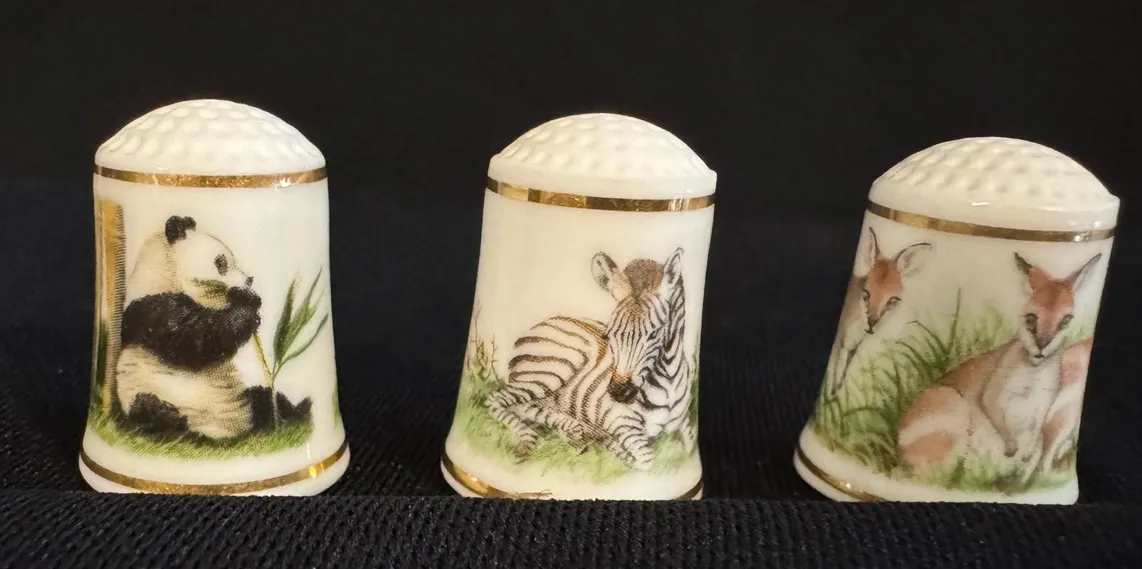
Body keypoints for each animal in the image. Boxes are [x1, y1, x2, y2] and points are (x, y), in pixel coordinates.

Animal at [485, 247, 695, 471]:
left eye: (654, 334)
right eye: (608, 335)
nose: (618, 392)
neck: (669, 382)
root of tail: (546, 322)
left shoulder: (686, 427)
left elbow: (682, 448)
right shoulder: (621, 423)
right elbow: (646, 462)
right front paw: (617, 452)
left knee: (525, 406)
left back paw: (573, 431)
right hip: (551, 370)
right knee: (496, 400)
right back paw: (539, 437)